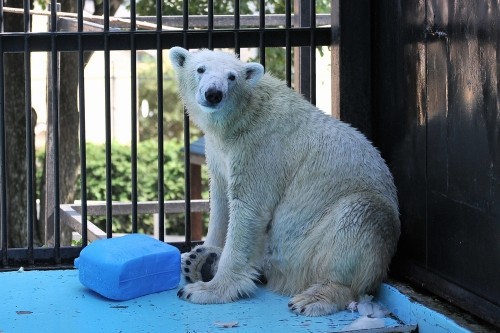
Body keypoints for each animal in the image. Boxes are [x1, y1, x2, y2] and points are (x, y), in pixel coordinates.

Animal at [170, 46, 400, 314]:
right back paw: (201, 262)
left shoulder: (260, 149)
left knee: (359, 220)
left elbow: (248, 210)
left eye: (232, 77)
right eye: (200, 69)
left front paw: (206, 290)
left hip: (320, 238)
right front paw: (202, 252)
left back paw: (315, 298)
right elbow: (220, 201)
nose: (213, 94)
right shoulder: (220, 151)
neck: (242, 117)